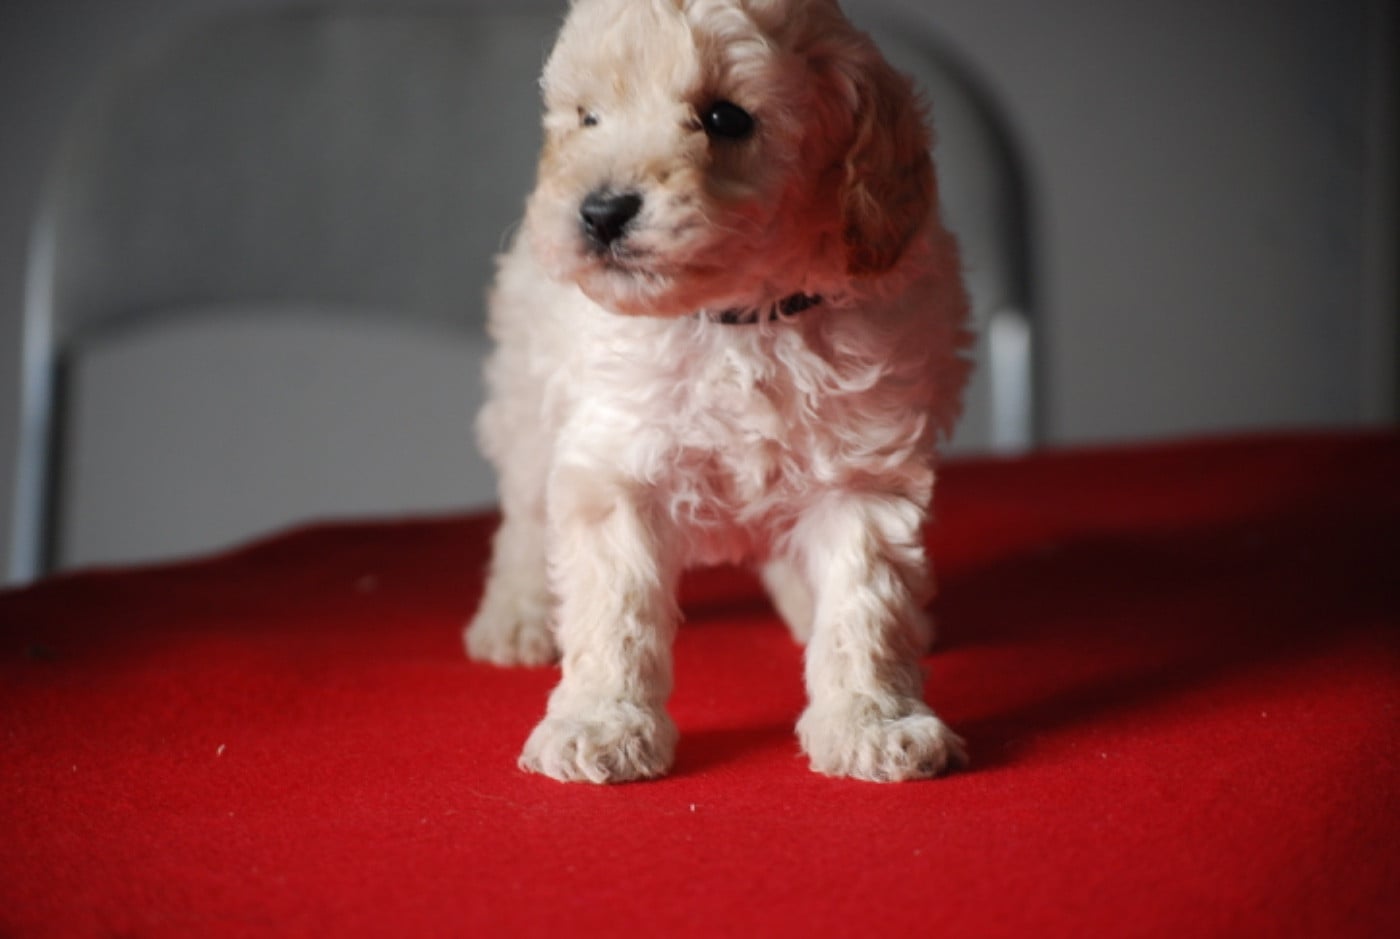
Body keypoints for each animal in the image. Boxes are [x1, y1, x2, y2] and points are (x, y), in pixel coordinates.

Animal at [465, 0, 972, 783]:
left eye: (726, 118)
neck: (743, 320)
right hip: (525, 392)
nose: (600, 212)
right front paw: (601, 722)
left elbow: (864, 603)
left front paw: (874, 722)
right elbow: (612, 606)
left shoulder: (861, 468)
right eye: (589, 117)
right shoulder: (615, 463)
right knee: (523, 516)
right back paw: (515, 617)